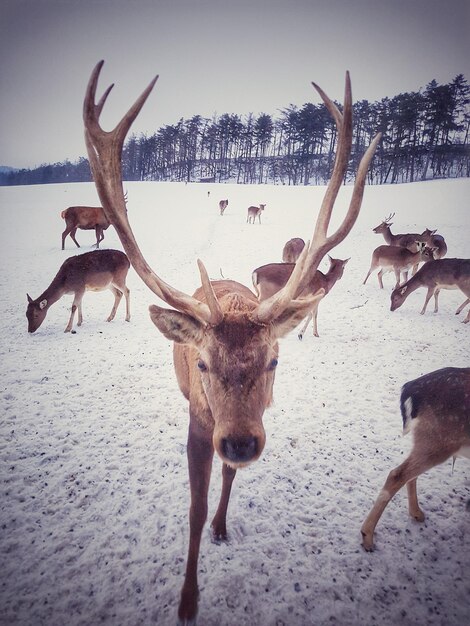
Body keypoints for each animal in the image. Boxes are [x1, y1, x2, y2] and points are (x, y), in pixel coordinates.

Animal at [82, 61, 380, 620]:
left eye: (274, 363)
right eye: (201, 364)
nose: (240, 441)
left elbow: (228, 482)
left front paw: (222, 528)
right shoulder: (200, 422)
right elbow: (194, 508)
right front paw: (187, 601)